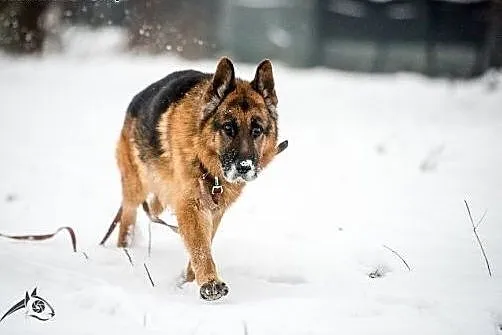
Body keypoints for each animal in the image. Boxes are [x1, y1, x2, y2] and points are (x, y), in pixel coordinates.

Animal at [103, 57, 286, 302]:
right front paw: (210, 283)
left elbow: (203, 242)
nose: (244, 167)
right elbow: (199, 246)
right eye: (228, 128)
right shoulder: (190, 205)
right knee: (127, 216)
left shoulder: (214, 211)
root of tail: (137, 99)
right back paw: (126, 249)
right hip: (135, 186)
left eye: (257, 130)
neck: (208, 168)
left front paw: (188, 281)